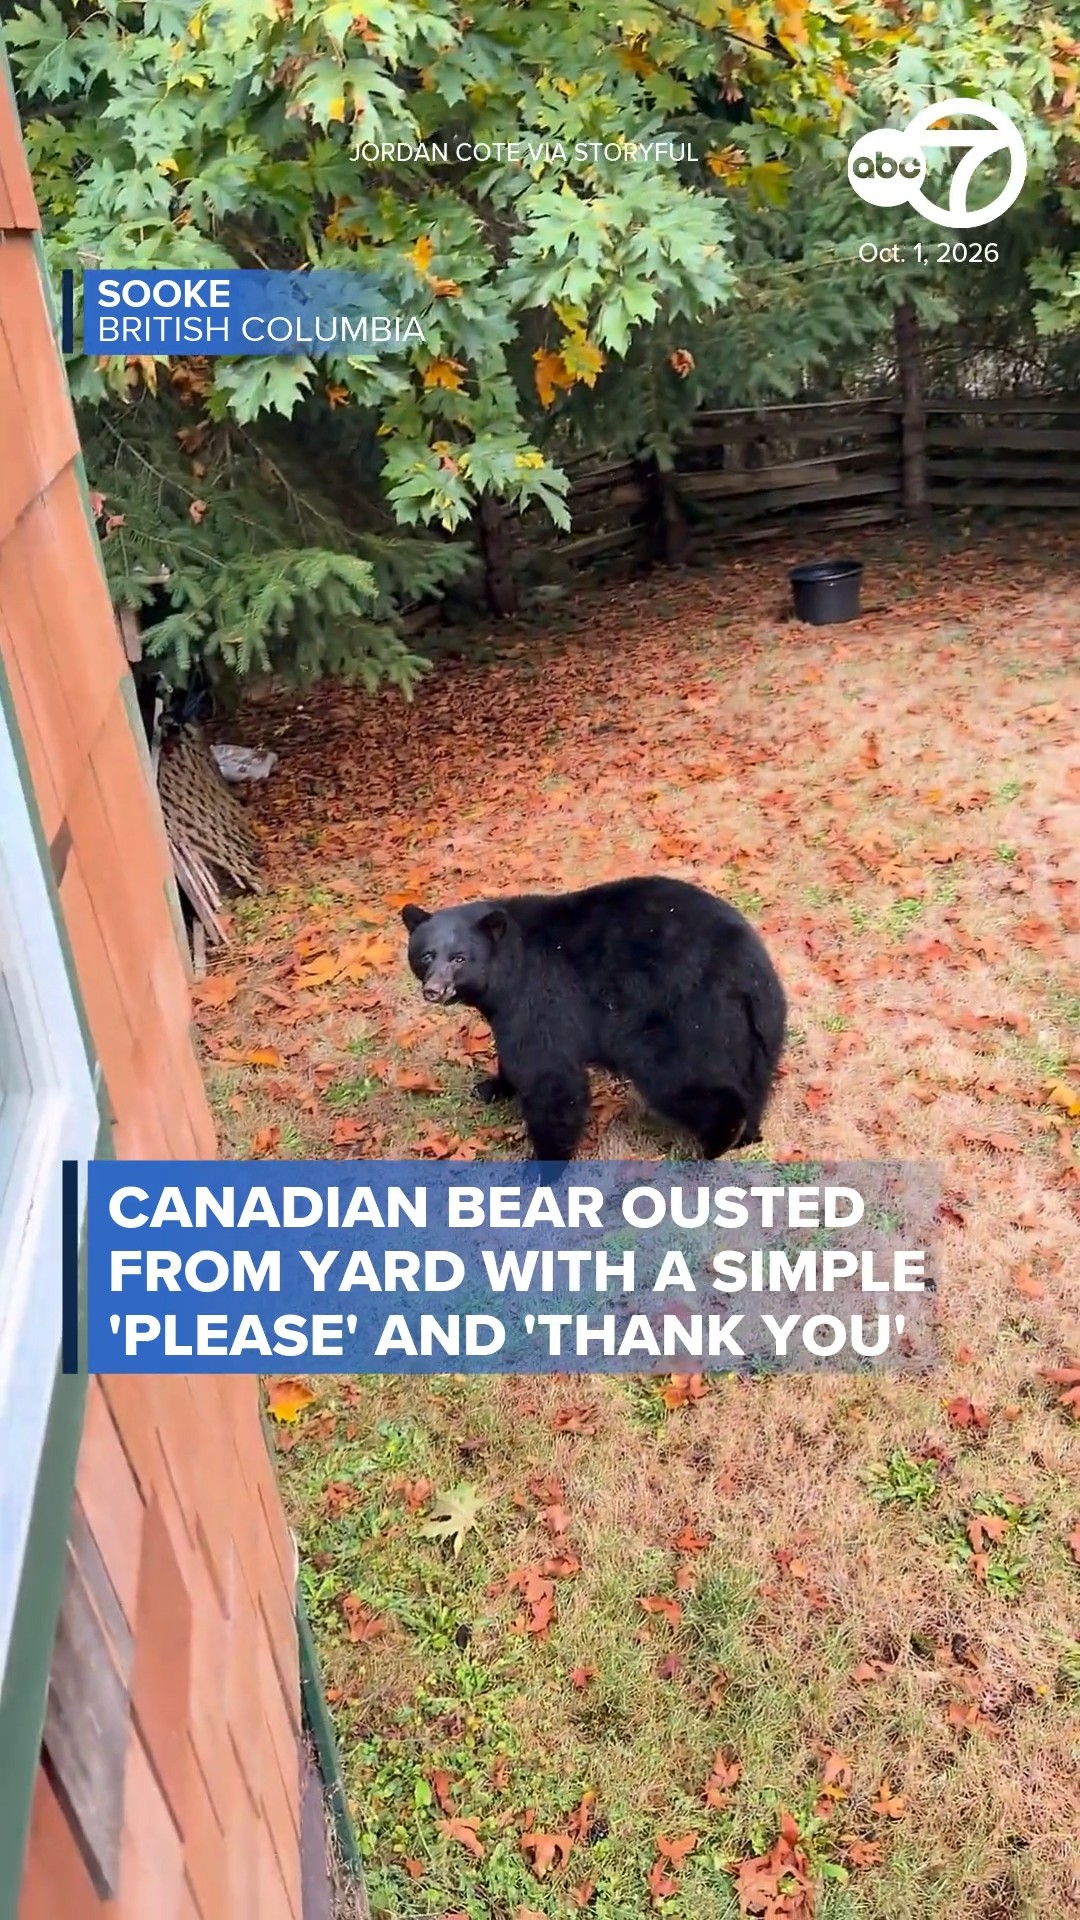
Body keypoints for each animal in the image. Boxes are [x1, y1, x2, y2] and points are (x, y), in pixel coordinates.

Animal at [400, 875, 785, 1163]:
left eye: (460, 958)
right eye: (427, 955)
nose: (433, 990)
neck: (507, 969)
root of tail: (745, 967)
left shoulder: (540, 994)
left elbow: (549, 1075)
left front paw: (543, 1165)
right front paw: (492, 1087)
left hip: (681, 1019)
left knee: (681, 1081)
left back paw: (712, 1145)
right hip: (756, 1026)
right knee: (756, 1076)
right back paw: (748, 1134)